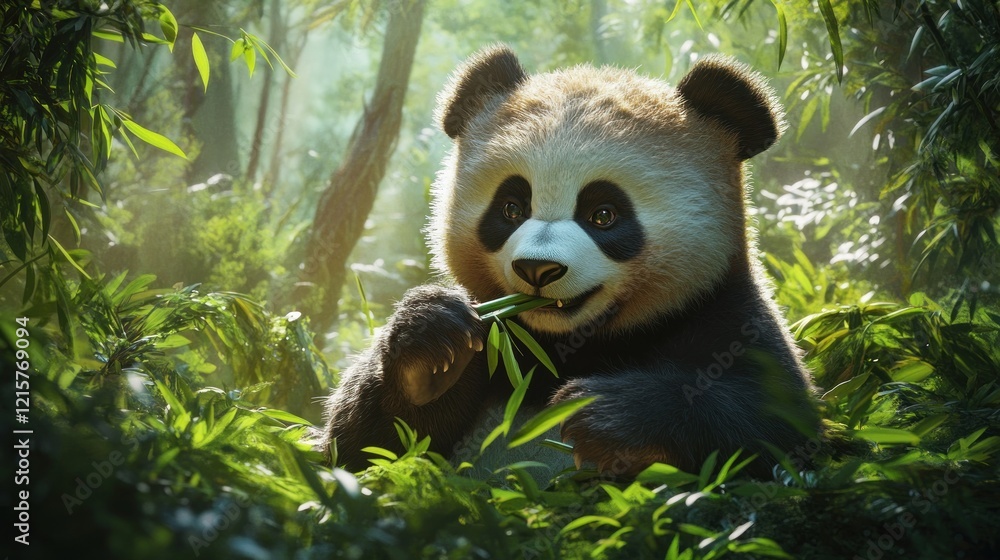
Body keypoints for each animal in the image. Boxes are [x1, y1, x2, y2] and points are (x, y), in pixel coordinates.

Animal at [320, 45, 819, 479]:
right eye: (511, 208)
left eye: (604, 215)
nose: (537, 270)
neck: (569, 345)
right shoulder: (500, 349)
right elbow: (362, 448)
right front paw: (430, 344)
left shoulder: (725, 314)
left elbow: (776, 423)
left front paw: (600, 413)